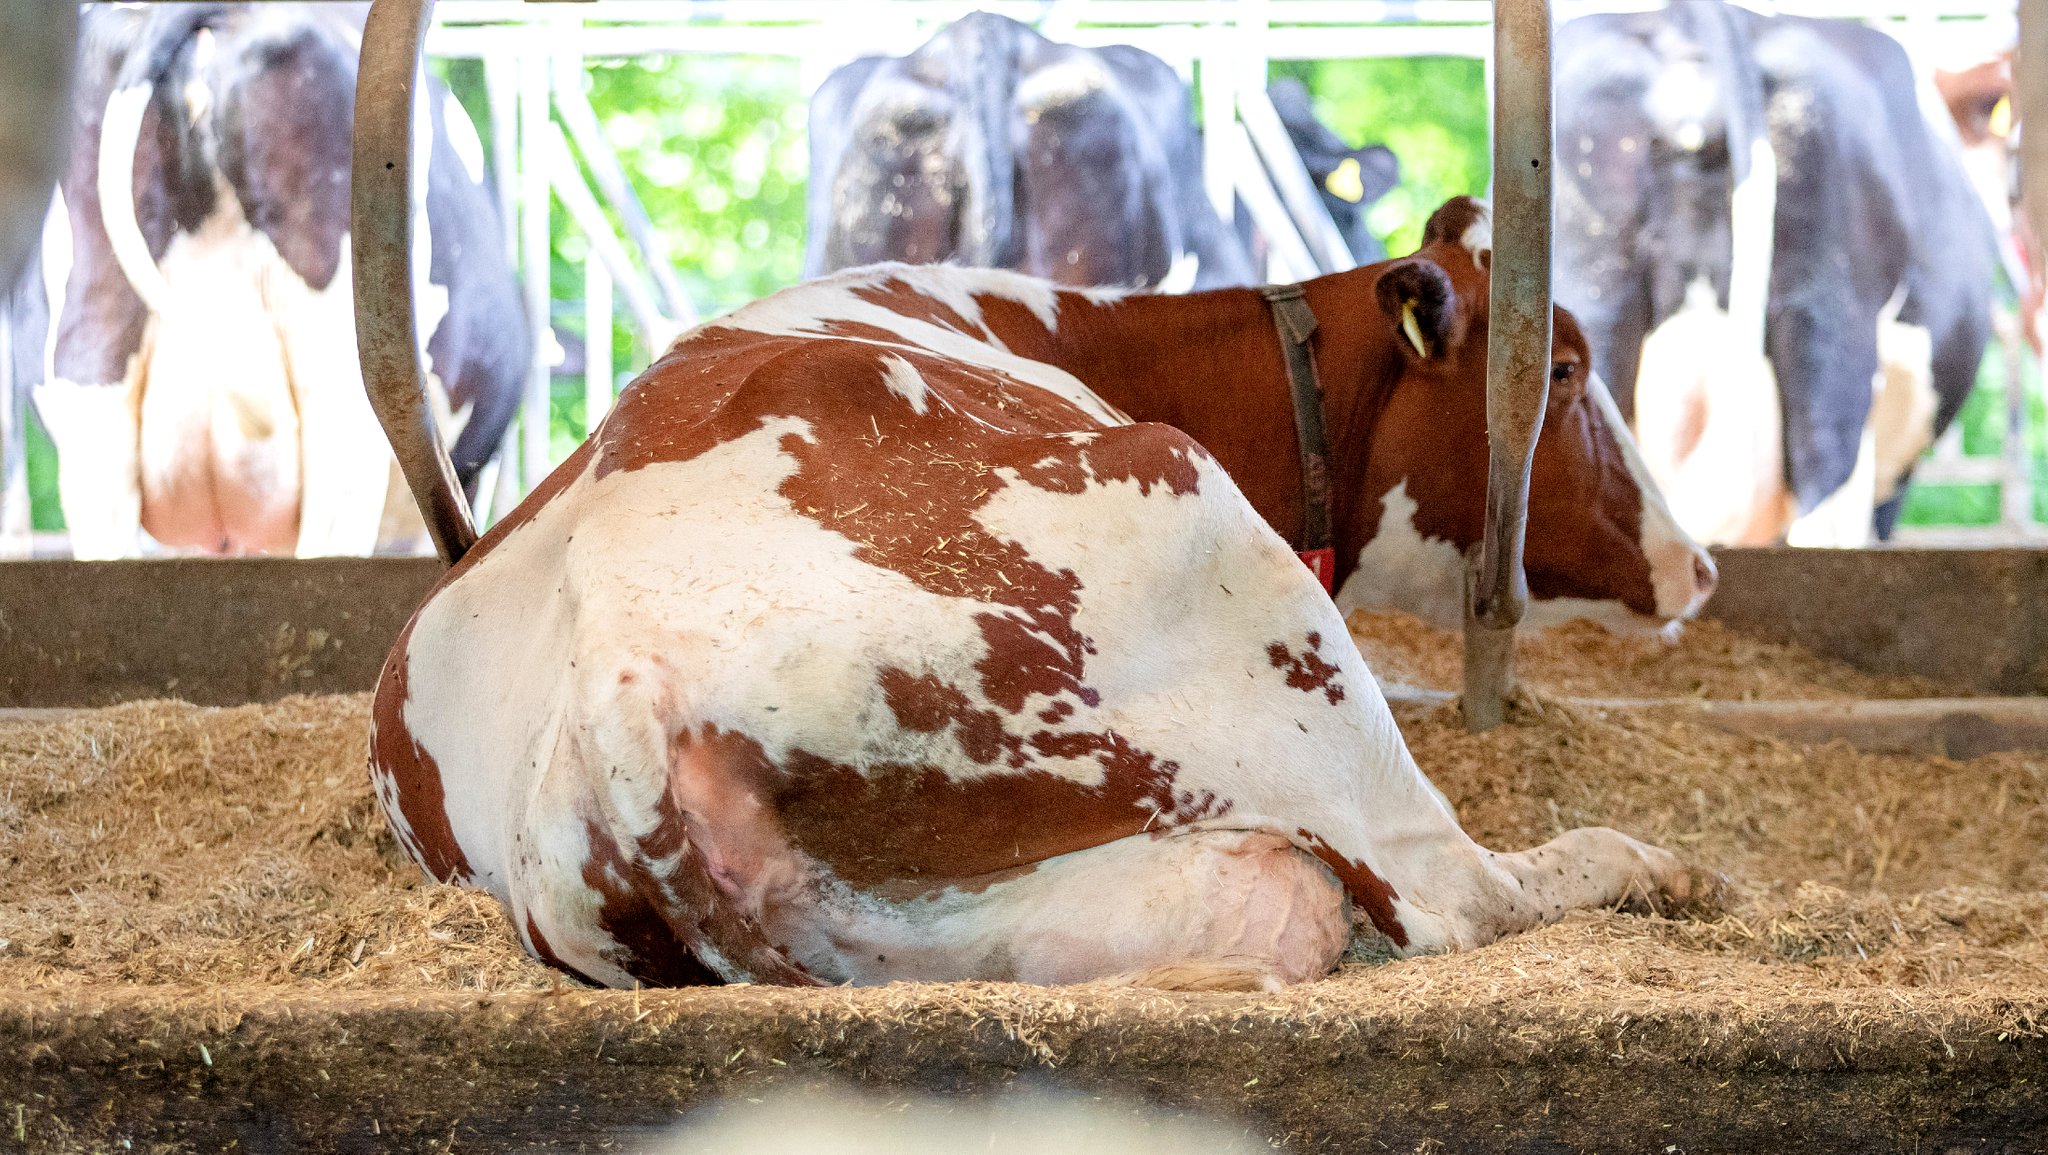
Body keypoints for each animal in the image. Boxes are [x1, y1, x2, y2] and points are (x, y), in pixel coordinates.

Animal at [376, 200, 1720, 991]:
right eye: (1563, 370)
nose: (1698, 565)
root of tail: (619, 679)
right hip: (1207, 539)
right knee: (1454, 894)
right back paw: (1655, 867)